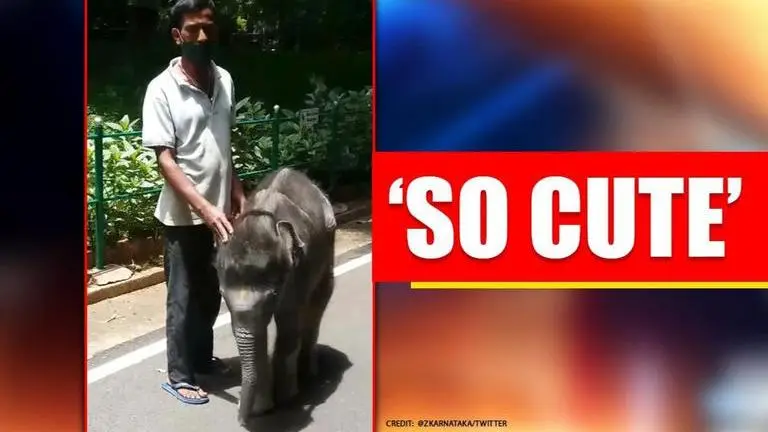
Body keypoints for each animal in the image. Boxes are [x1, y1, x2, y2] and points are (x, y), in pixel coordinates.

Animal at [214, 167, 337, 426]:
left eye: (273, 294)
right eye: (221, 294)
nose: (240, 420)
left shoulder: (296, 273)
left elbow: (289, 324)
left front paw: (287, 399)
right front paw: (263, 408)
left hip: (328, 243)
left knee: (318, 301)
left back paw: (309, 374)